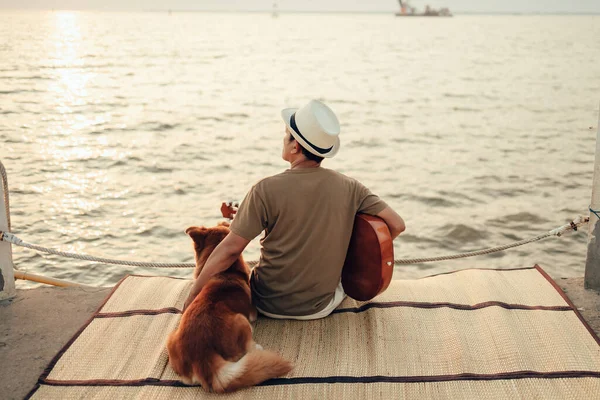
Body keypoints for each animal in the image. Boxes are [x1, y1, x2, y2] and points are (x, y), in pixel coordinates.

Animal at [166, 223, 292, 392]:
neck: (226, 272)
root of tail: (203, 356)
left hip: (171, 338)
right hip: (242, 320)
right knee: (248, 347)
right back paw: (257, 348)